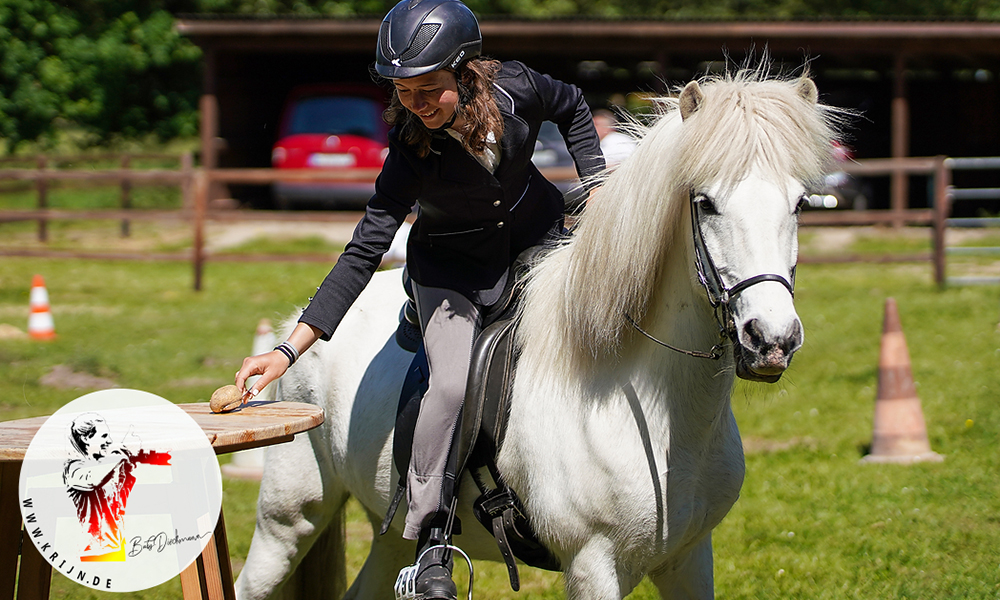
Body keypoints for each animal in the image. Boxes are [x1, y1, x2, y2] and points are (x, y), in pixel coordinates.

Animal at [236, 71, 844, 600]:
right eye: (706, 202)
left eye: (799, 203)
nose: (771, 339)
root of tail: (298, 325)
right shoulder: (593, 565)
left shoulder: (691, 559)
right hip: (290, 518)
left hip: (388, 532)